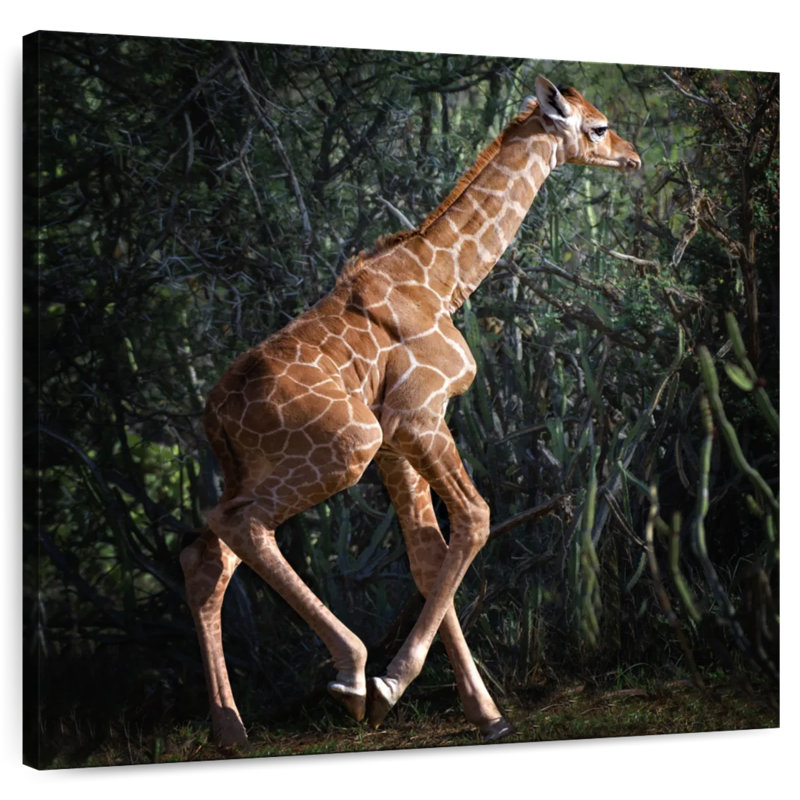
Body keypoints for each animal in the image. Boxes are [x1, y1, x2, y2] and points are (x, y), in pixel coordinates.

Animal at [180, 75, 641, 749]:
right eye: (599, 127)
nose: (634, 157)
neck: (443, 280)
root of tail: (215, 420)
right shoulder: (417, 418)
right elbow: (474, 521)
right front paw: (390, 685)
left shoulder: (399, 442)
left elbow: (427, 558)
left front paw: (487, 714)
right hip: (345, 447)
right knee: (238, 525)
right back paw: (349, 674)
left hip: (270, 466)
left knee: (206, 553)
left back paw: (231, 727)